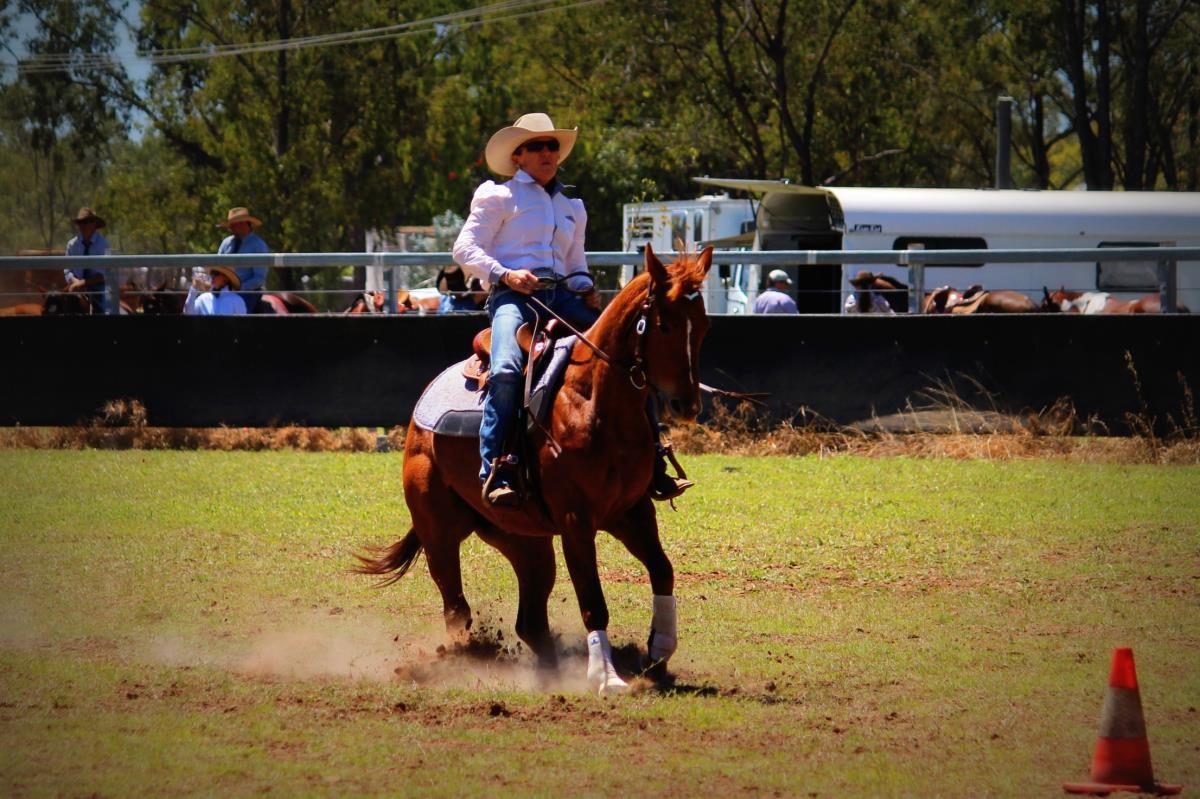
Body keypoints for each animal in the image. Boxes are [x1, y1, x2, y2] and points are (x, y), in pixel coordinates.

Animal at [355, 245, 714, 693]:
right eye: (664, 325)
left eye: (703, 325)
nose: (688, 405)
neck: (592, 402)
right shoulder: (577, 521)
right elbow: (593, 602)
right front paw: (606, 676)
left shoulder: (632, 512)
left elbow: (663, 570)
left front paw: (658, 651)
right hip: (438, 531)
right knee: (457, 609)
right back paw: (463, 660)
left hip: (526, 540)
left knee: (530, 621)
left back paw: (549, 674)